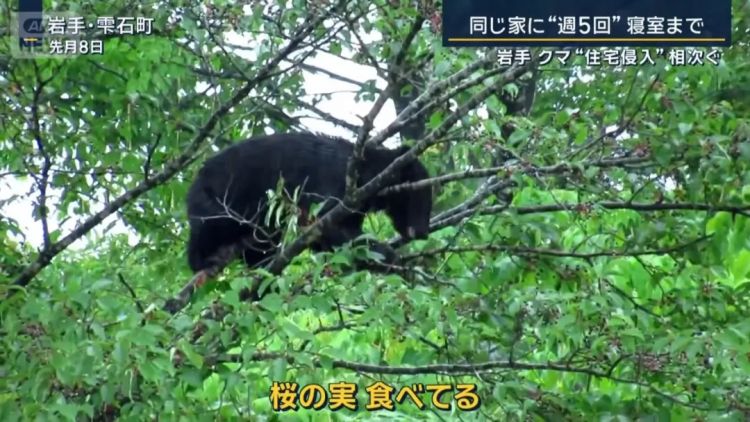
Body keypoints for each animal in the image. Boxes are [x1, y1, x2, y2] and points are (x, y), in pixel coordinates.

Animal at [185, 132, 432, 278]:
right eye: (421, 193)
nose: (423, 231)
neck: (365, 174)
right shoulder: (334, 182)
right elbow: (325, 225)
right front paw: (396, 260)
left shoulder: (355, 202)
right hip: (219, 197)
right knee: (211, 225)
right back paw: (204, 259)